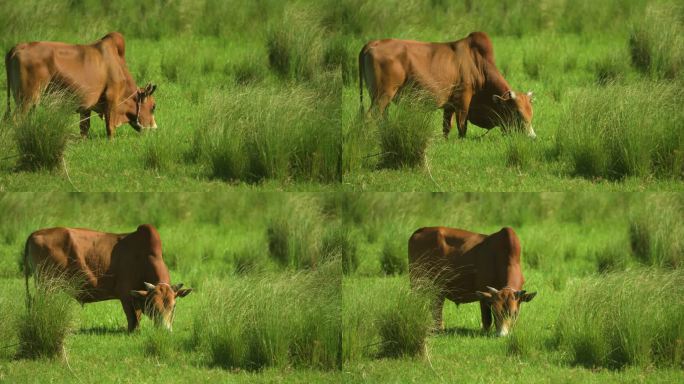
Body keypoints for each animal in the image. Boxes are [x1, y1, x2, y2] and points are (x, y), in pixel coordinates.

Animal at [5, 31, 158, 138]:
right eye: (153, 107)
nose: (154, 128)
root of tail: (17, 47)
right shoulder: (111, 100)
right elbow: (110, 127)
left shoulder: (86, 107)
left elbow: (84, 128)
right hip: (26, 99)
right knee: (16, 120)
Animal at [24, 224, 190, 332]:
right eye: (153, 305)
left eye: (174, 306)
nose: (165, 330)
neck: (144, 258)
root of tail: (35, 233)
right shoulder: (126, 295)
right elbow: (133, 319)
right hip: (46, 286)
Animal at [358, 31, 536, 139]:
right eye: (517, 113)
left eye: (530, 113)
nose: (532, 137)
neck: (478, 64)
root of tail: (372, 43)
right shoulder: (463, 100)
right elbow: (462, 126)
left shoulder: (449, 105)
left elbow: (446, 127)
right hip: (382, 95)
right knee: (368, 118)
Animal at [408, 226, 536, 338]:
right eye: (495, 311)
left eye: (514, 313)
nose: (502, 335)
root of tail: (419, 231)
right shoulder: (484, 295)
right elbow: (487, 320)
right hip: (416, 281)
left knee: (436, 307)